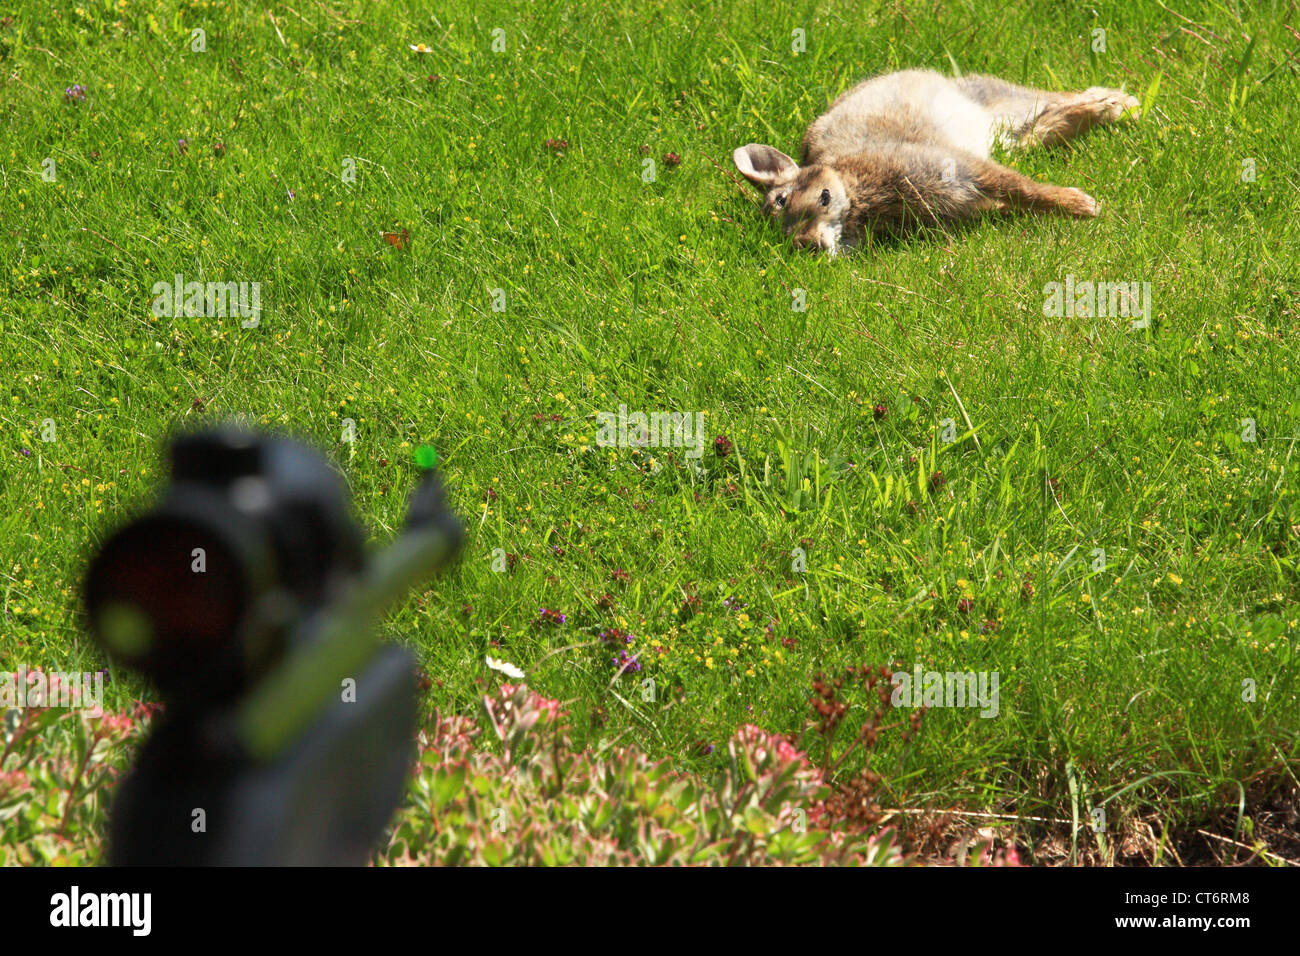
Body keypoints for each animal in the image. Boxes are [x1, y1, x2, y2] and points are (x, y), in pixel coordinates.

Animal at [733, 68, 1139, 254]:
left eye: (783, 198)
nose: (806, 243)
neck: (857, 195)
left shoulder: (952, 166)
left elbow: (1018, 185)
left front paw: (1084, 207)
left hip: (998, 100)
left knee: (1052, 99)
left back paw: (1118, 104)